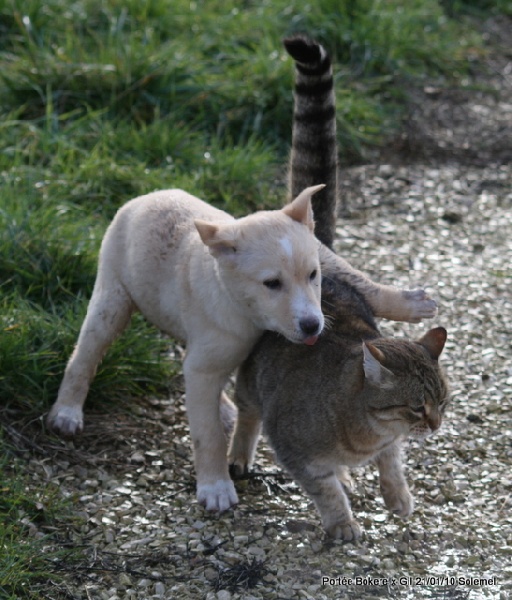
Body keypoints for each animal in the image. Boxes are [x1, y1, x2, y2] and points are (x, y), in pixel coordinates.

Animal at [48, 184, 324, 510]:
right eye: (271, 283)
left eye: (313, 275)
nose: (312, 326)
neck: (240, 308)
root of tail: (151, 194)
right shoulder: (203, 369)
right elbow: (208, 434)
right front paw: (216, 487)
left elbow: (247, 414)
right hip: (111, 300)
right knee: (83, 357)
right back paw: (66, 412)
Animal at [228, 36, 448, 540]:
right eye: (417, 407)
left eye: (443, 402)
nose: (435, 425)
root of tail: (310, 249)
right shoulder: (293, 446)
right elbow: (323, 487)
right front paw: (342, 522)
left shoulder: (388, 446)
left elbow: (392, 462)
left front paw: (397, 495)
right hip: (251, 382)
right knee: (247, 414)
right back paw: (239, 456)